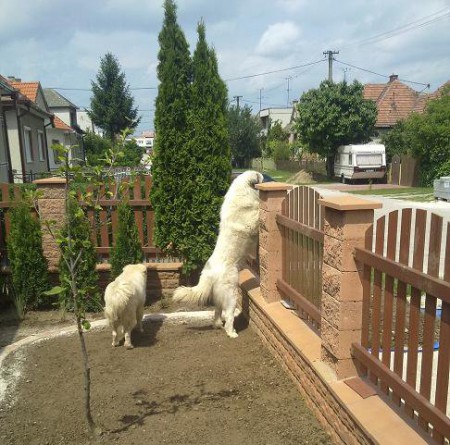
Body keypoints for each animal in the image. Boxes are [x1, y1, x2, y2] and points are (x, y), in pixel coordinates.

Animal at [172, 170, 264, 338]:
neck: (242, 191)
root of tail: (208, 273)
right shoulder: (250, 222)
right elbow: (257, 212)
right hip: (231, 294)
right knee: (228, 316)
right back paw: (231, 332)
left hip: (220, 296)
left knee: (216, 313)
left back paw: (218, 325)